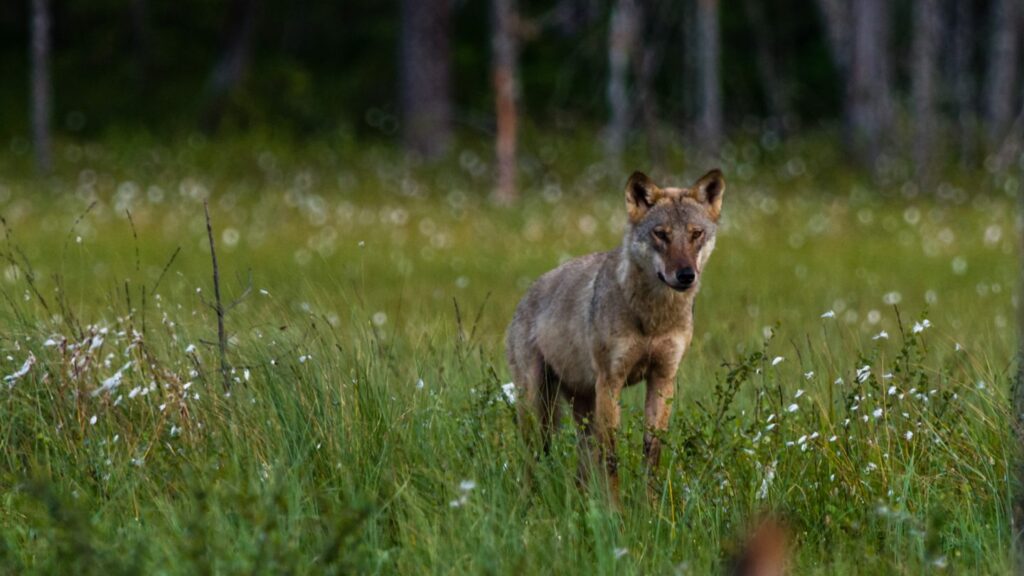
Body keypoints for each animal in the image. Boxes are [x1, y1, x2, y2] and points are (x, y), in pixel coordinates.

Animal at [507, 167, 724, 502]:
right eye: (661, 234)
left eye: (695, 234)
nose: (686, 275)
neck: (652, 318)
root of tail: (527, 294)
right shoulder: (611, 381)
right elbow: (611, 456)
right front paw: (615, 510)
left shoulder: (663, 378)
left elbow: (652, 453)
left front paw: (650, 508)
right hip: (537, 406)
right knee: (534, 458)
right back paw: (528, 503)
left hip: (580, 408)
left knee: (582, 465)